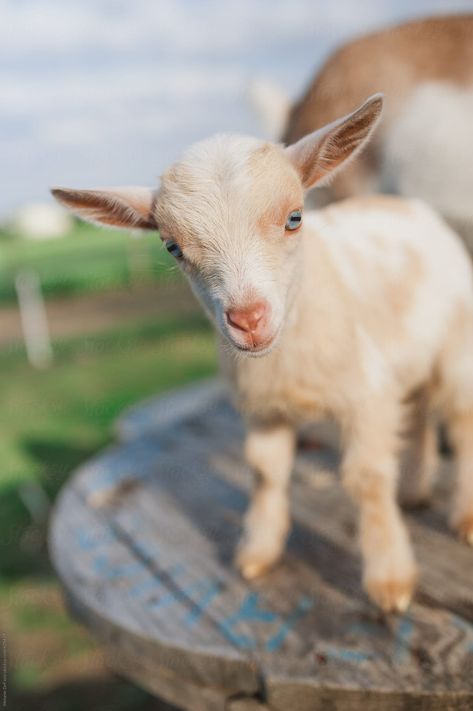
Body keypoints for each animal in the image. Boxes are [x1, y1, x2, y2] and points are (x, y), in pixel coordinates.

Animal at [50, 94, 472, 616]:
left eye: (295, 218)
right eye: (172, 247)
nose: (248, 319)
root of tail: (411, 207)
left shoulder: (365, 394)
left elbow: (366, 478)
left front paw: (390, 582)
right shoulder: (264, 408)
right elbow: (265, 472)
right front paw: (257, 553)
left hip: (456, 346)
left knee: (460, 420)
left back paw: (464, 517)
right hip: (407, 357)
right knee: (416, 413)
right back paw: (413, 493)